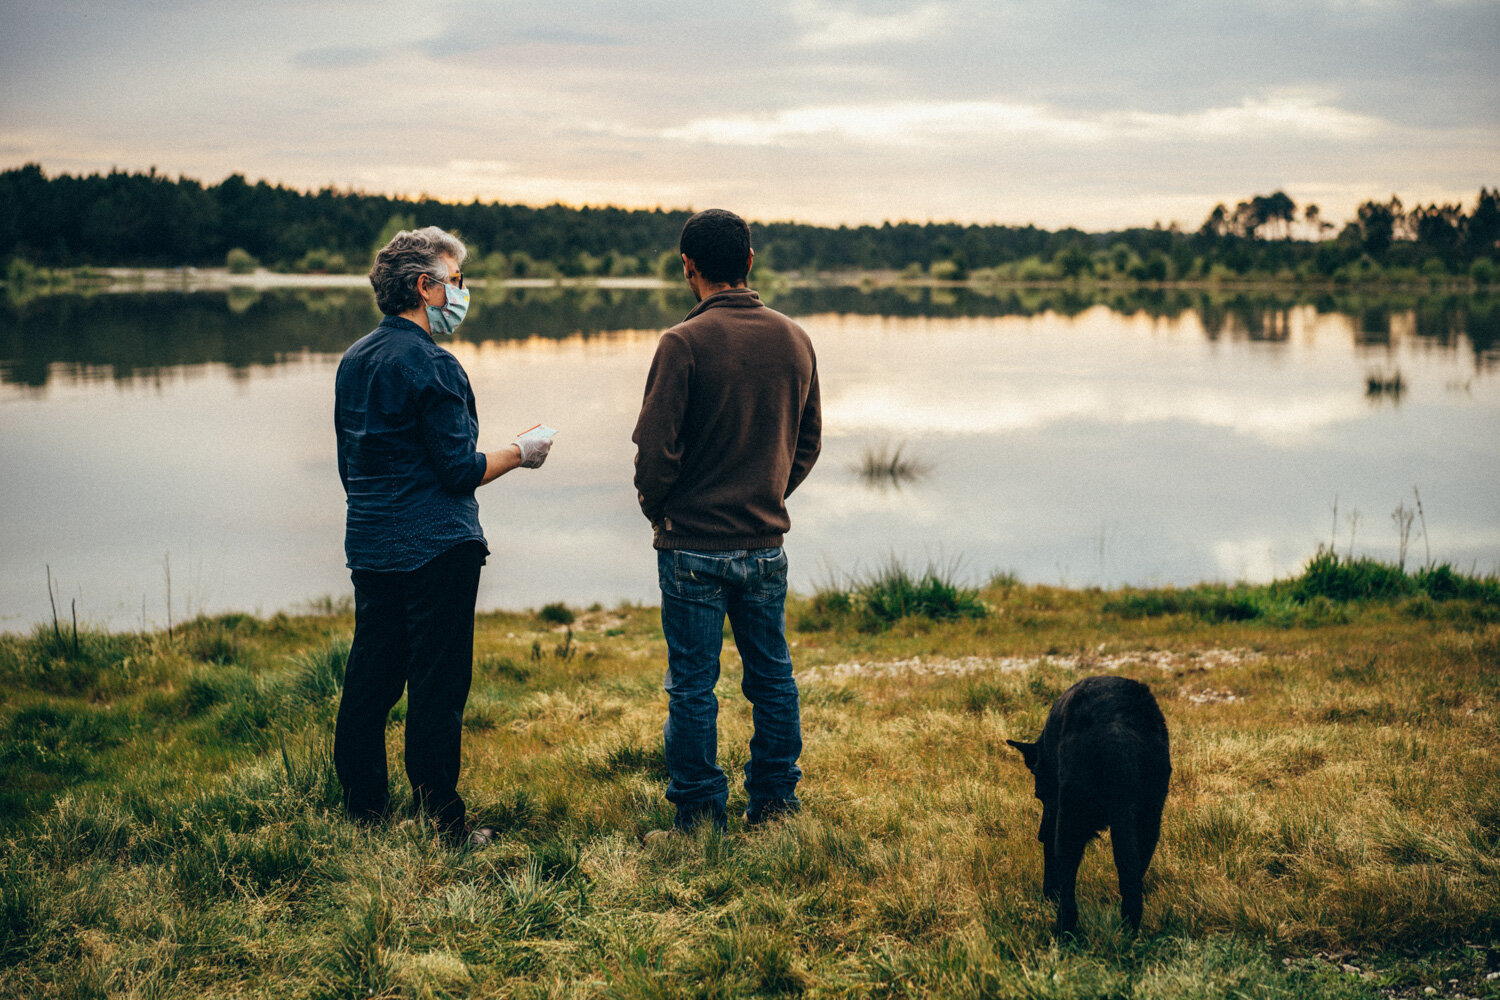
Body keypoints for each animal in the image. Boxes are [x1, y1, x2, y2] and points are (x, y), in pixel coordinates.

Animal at [1008, 677, 1170, 935]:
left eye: (1038, 794)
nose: (1041, 834)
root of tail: (1117, 726)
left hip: (1072, 814)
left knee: (1068, 879)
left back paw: (1063, 931)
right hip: (1149, 818)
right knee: (1131, 877)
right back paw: (1129, 931)